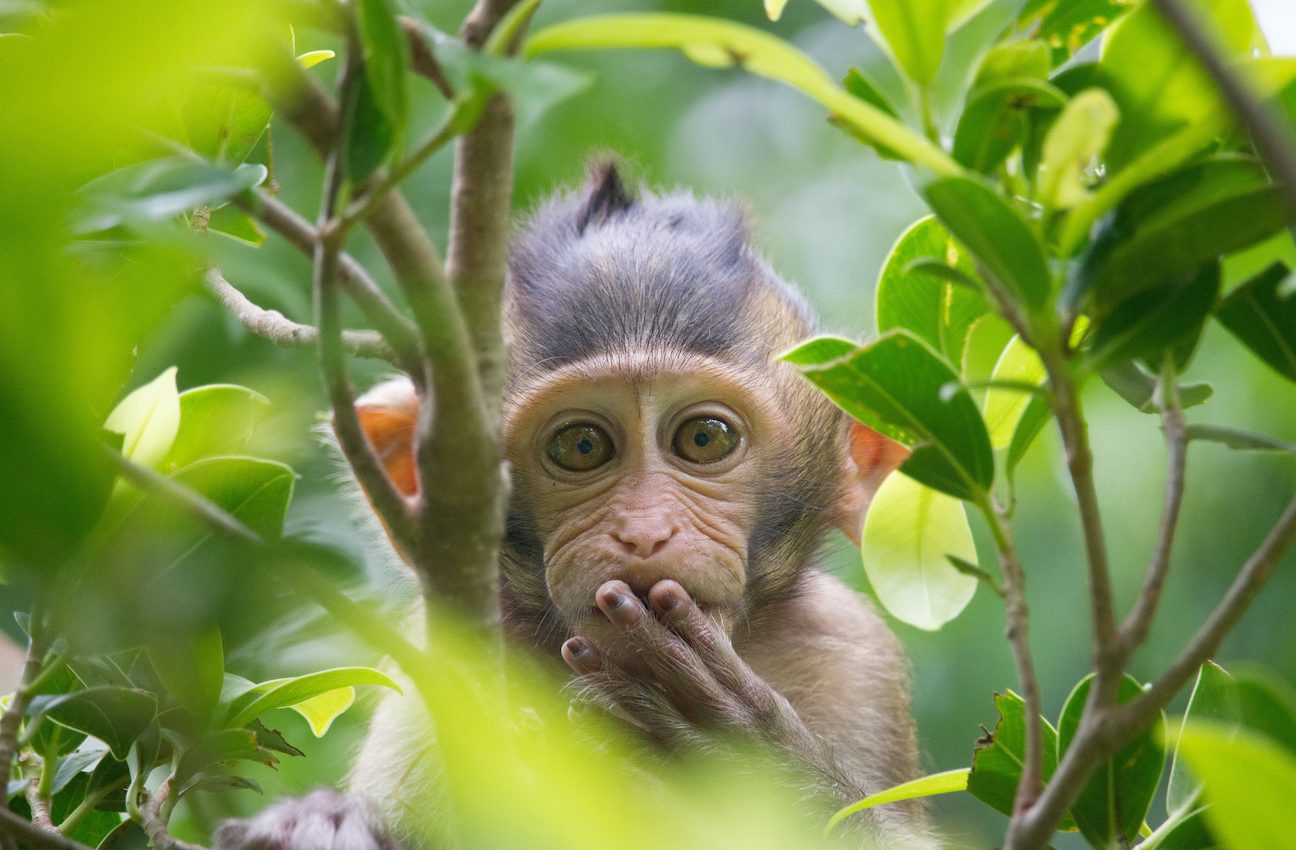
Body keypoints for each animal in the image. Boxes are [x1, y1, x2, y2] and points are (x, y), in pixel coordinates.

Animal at [215, 163, 933, 850]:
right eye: (582, 445)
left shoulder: (850, 656)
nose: (643, 532)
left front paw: (751, 757)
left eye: (704, 438)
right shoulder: (439, 672)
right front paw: (328, 825)